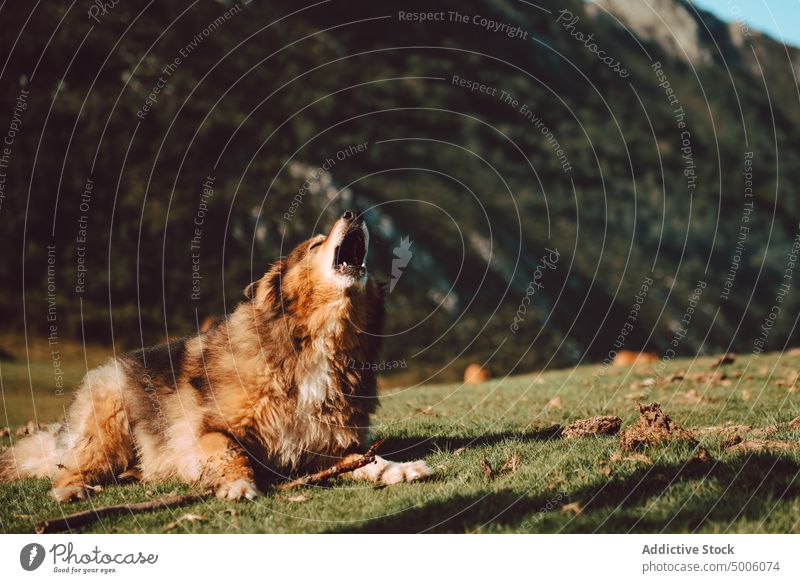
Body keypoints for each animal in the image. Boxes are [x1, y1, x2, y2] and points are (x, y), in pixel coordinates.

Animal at [0, 210, 432, 502]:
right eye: (314, 244)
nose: (353, 213)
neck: (309, 344)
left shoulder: (327, 448)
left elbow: (370, 461)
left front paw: (401, 468)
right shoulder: (208, 430)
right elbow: (231, 452)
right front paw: (238, 484)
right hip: (106, 425)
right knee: (70, 468)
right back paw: (71, 490)